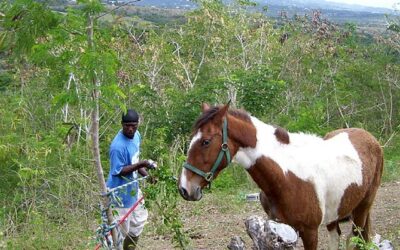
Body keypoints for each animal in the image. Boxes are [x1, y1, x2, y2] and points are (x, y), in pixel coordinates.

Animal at [178, 102, 384, 250]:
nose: (184, 188)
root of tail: (370, 138)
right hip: (336, 213)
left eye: (205, 141)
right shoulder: (280, 230)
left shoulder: (309, 232)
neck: (286, 176)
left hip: (362, 209)